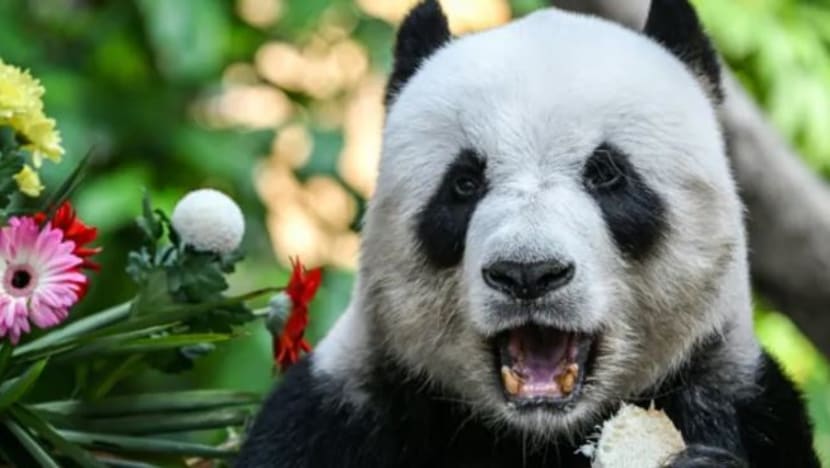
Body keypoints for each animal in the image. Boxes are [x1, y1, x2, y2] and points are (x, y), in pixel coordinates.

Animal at [237, 0, 820, 466]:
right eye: (464, 183)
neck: (538, 435)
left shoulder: (746, 403)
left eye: (607, 174)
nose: (528, 273)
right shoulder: (338, 413)